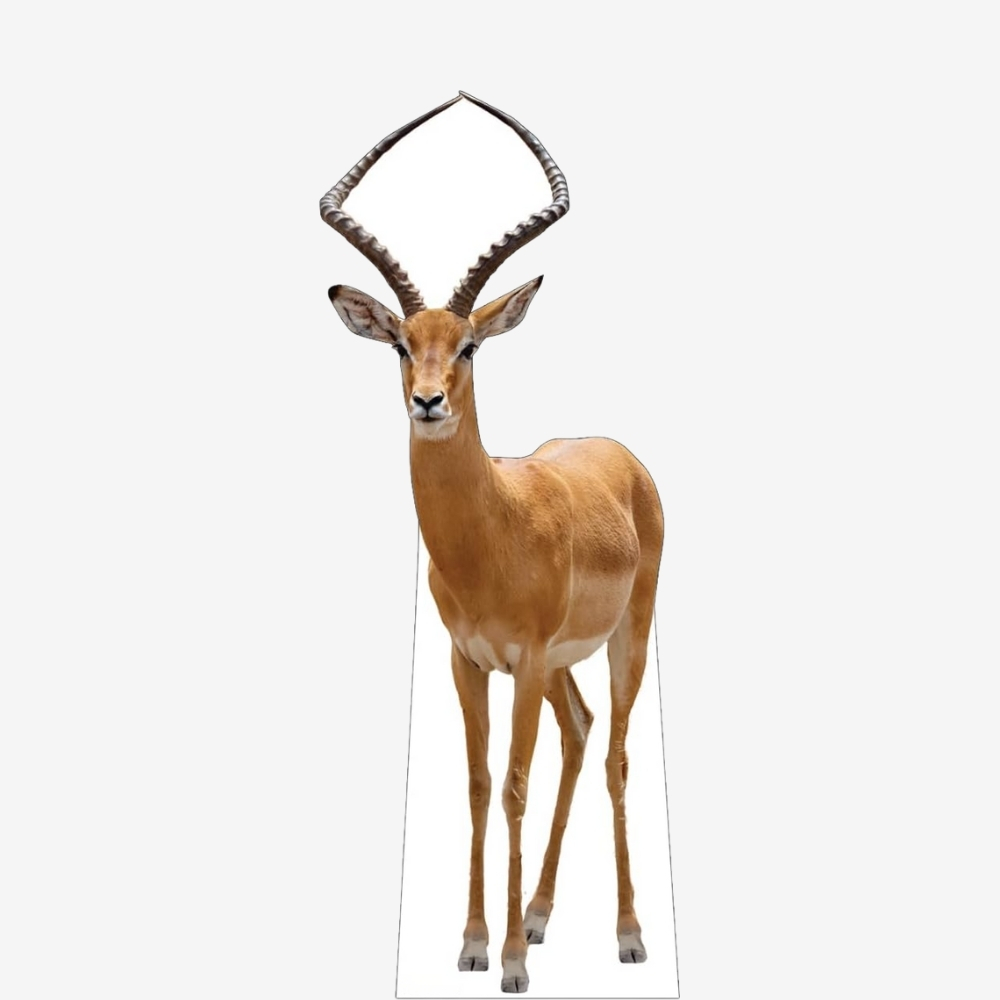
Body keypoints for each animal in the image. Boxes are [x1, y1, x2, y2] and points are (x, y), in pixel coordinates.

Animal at [321, 92, 664, 995]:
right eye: (402, 343)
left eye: (469, 344)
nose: (428, 401)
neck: (494, 533)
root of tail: (619, 454)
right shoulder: (469, 660)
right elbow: (477, 786)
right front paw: (476, 944)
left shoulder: (527, 659)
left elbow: (512, 786)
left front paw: (508, 961)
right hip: (558, 669)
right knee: (580, 733)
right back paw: (541, 917)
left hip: (625, 639)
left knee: (613, 753)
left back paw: (627, 936)